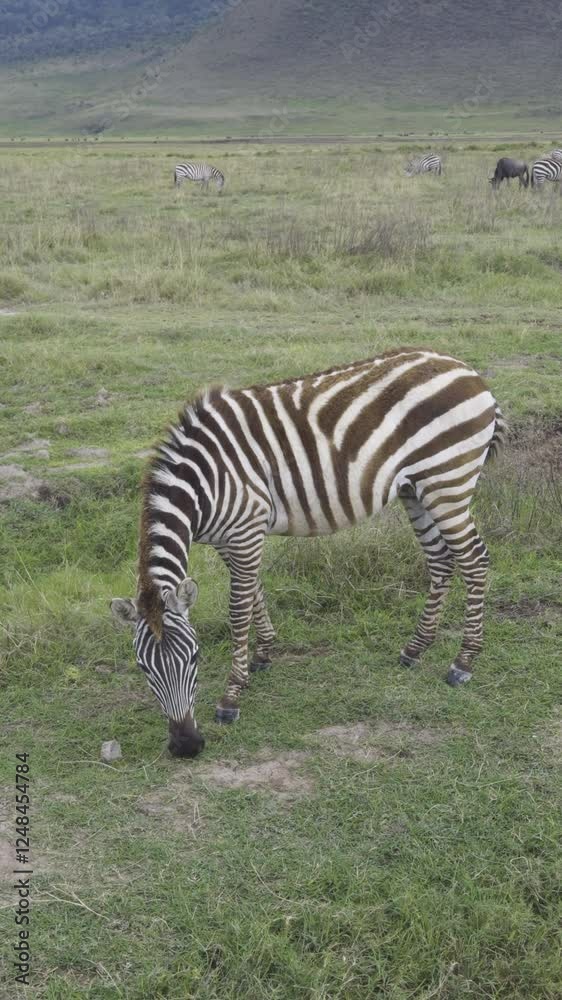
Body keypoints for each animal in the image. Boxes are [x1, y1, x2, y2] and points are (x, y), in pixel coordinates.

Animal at [112, 348, 507, 758]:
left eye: (195, 657)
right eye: (143, 667)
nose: (186, 746)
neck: (203, 483)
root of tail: (466, 370)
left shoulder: (245, 530)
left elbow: (238, 610)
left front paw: (231, 696)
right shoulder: (230, 537)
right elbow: (255, 592)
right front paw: (263, 654)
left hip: (447, 483)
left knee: (474, 559)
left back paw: (463, 661)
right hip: (417, 489)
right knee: (441, 559)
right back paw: (416, 648)